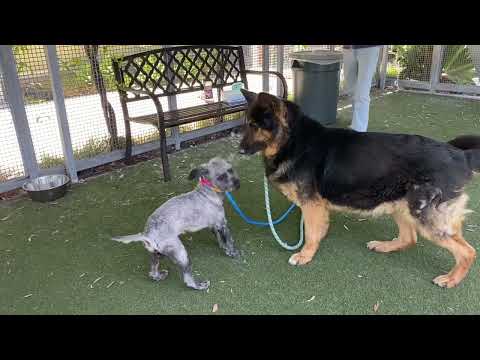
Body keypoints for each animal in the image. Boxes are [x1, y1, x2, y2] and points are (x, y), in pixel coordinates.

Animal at [112, 158, 240, 290]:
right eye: (221, 177)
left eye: (231, 170)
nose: (237, 182)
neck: (207, 192)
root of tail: (147, 234)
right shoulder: (222, 224)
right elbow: (229, 240)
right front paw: (233, 253)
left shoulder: (214, 225)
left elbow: (220, 238)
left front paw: (224, 247)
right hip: (181, 253)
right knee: (187, 278)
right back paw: (199, 285)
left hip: (157, 253)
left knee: (152, 270)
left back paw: (158, 276)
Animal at [239, 90, 480, 290]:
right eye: (247, 124)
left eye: (255, 126)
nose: (239, 150)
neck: (294, 140)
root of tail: (461, 155)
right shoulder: (317, 207)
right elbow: (318, 230)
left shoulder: (311, 205)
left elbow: (310, 234)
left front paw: (305, 255)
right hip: (402, 206)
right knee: (409, 238)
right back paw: (385, 246)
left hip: (424, 216)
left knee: (468, 251)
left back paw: (451, 279)